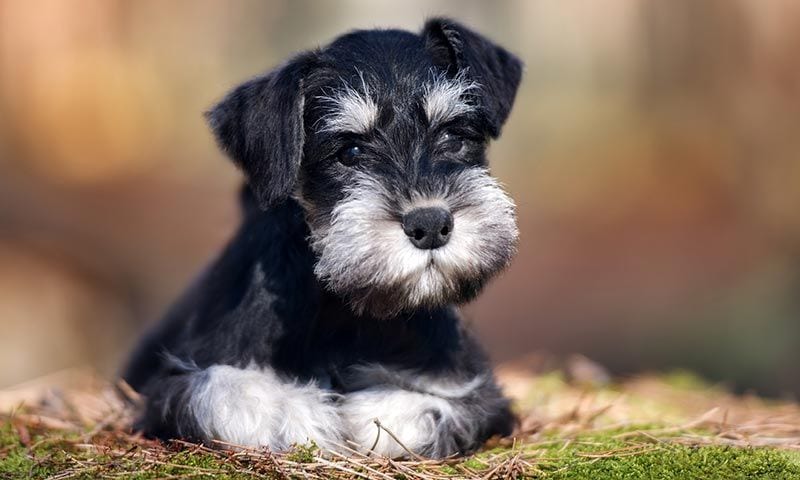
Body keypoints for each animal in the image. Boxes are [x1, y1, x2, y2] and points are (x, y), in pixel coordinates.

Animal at [123, 18, 524, 460]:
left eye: (454, 135)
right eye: (350, 151)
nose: (431, 224)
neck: (344, 308)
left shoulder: (478, 391)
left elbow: (422, 407)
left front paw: (363, 411)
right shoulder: (173, 385)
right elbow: (227, 393)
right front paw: (300, 411)